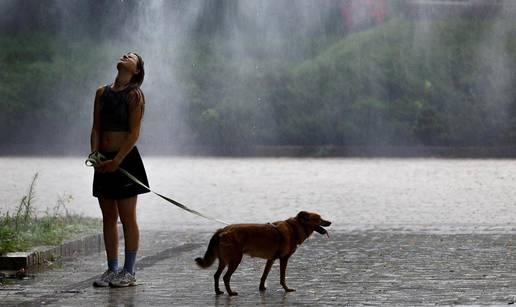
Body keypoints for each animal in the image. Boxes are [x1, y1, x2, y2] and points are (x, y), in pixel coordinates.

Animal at [194, 212, 330, 296]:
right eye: (319, 218)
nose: (330, 222)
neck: (294, 228)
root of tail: (222, 230)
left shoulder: (271, 259)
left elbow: (264, 275)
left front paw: (262, 288)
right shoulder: (283, 259)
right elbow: (282, 277)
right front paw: (286, 289)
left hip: (224, 260)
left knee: (216, 275)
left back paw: (218, 291)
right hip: (235, 260)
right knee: (225, 277)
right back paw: (231, 293)